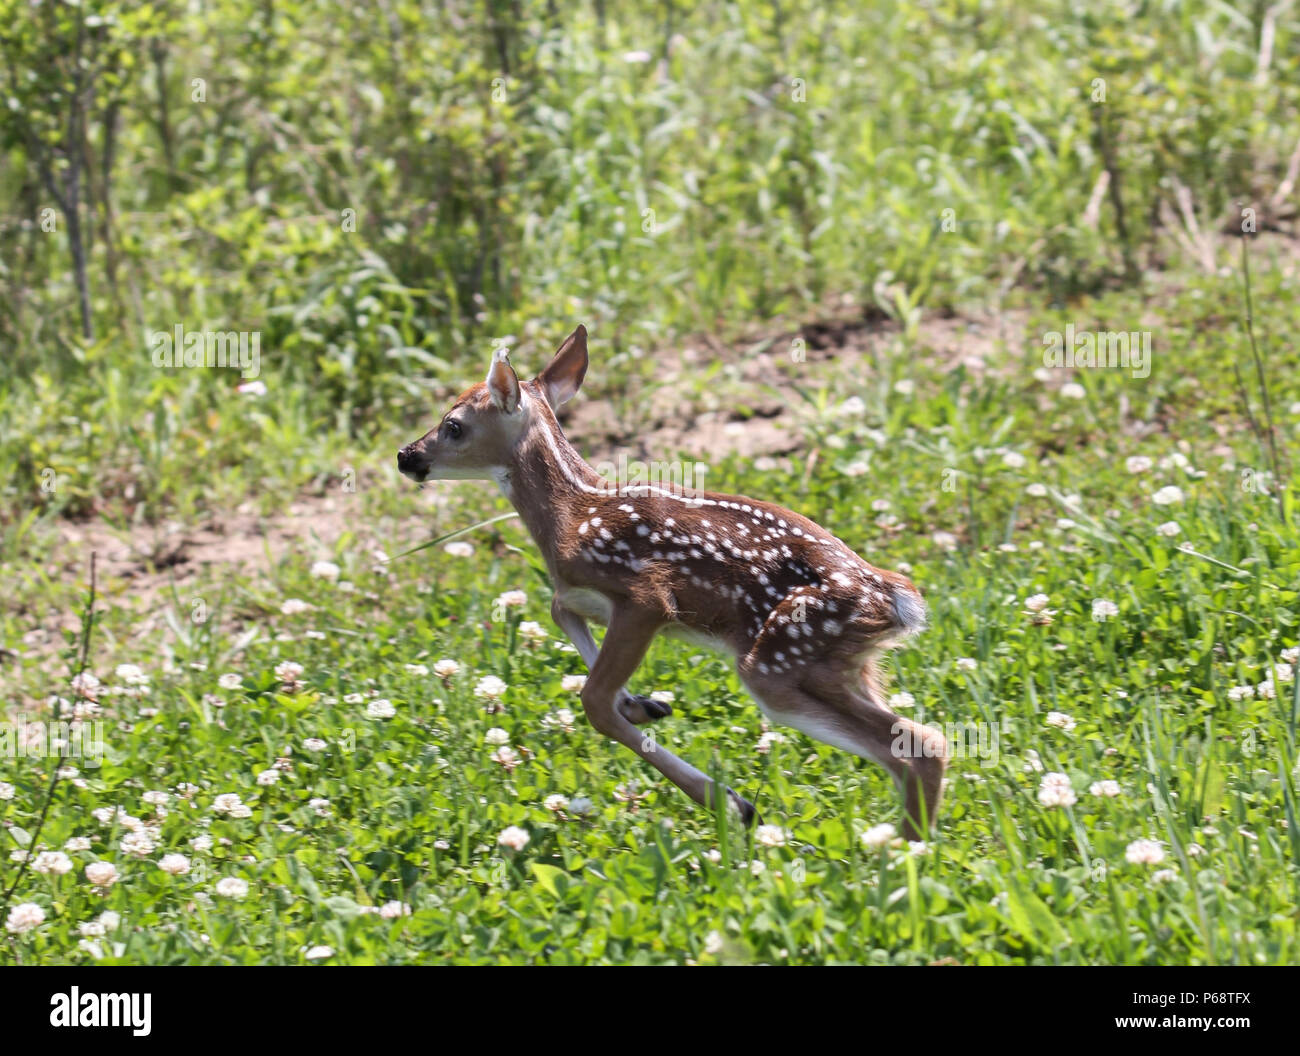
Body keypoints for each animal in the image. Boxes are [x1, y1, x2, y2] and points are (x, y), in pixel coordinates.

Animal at [397, 326, 948, 839]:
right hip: (844, 666)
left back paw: (901, 854)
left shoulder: (646, 597)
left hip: (781, 657)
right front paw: (643, 704)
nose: (406, 455)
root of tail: (895, 598)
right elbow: (560, 611)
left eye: (453, 425)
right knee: (918, 741)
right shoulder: (589, 596)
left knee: (919, 745)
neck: (571, 515)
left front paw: (730, 803)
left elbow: (594, 702)